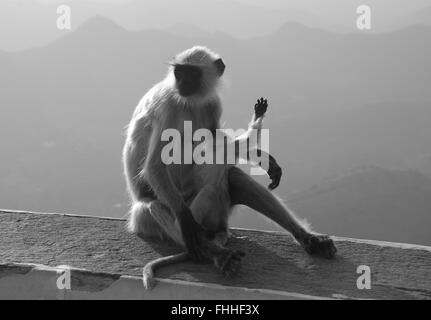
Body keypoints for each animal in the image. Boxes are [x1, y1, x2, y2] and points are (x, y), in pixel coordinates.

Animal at [123, 46, 340, 288]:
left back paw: (308, 239)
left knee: (231, 176)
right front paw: (188, 223)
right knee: (154, 206)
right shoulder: (169, 105)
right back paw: (215, 252)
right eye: (180, 72)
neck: (191, 101)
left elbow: (219, 143)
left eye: (191, 73)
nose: (183, 83)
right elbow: (154, 166)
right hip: (148, 217)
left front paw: (259, 152)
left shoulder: (212, 103)